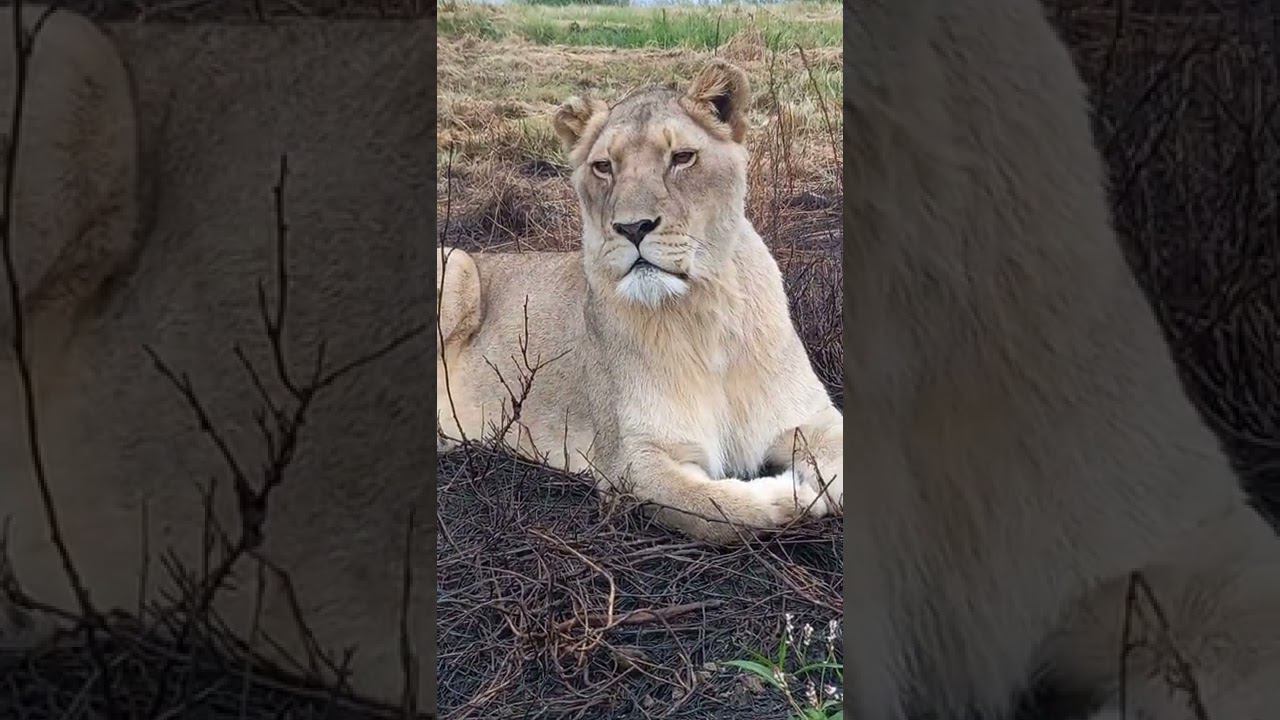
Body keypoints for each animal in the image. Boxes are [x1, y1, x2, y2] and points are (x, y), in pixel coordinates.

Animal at [435, 60, 844, 545]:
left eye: (682, 157)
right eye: (603, 166)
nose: (632, 228)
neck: (703, 313)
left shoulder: (812, 417)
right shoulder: (631, 460)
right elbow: (716, 509)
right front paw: (792, 494)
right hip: (458, 262)